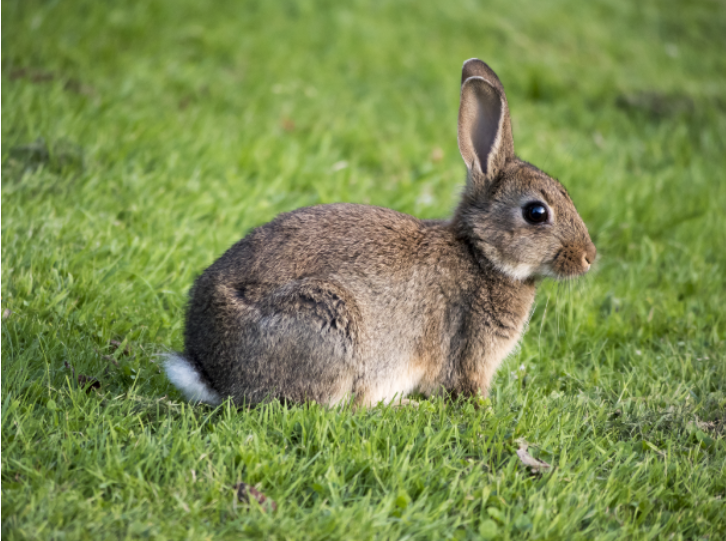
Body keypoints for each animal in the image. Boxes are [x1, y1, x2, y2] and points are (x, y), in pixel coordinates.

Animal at [164, 58, 596, 408]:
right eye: (536, 213)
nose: (589, 257)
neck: (480, 253)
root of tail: (211, 371)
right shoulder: (467, 347)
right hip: (329, 325)